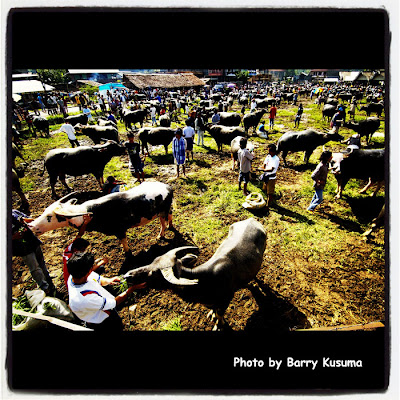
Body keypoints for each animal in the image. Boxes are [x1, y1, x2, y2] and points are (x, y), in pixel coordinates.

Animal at [26, 182, 173, 253]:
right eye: (45, 211)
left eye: (49, 216)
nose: (31, 225)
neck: (87, 213)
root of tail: (168, 186)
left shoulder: (120, 230)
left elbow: (124, 243)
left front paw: (126, 252)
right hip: (167, 209)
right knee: (169, 218)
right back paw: (170, 227)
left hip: (163, 211)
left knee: (163, 223)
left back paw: (160, 236)